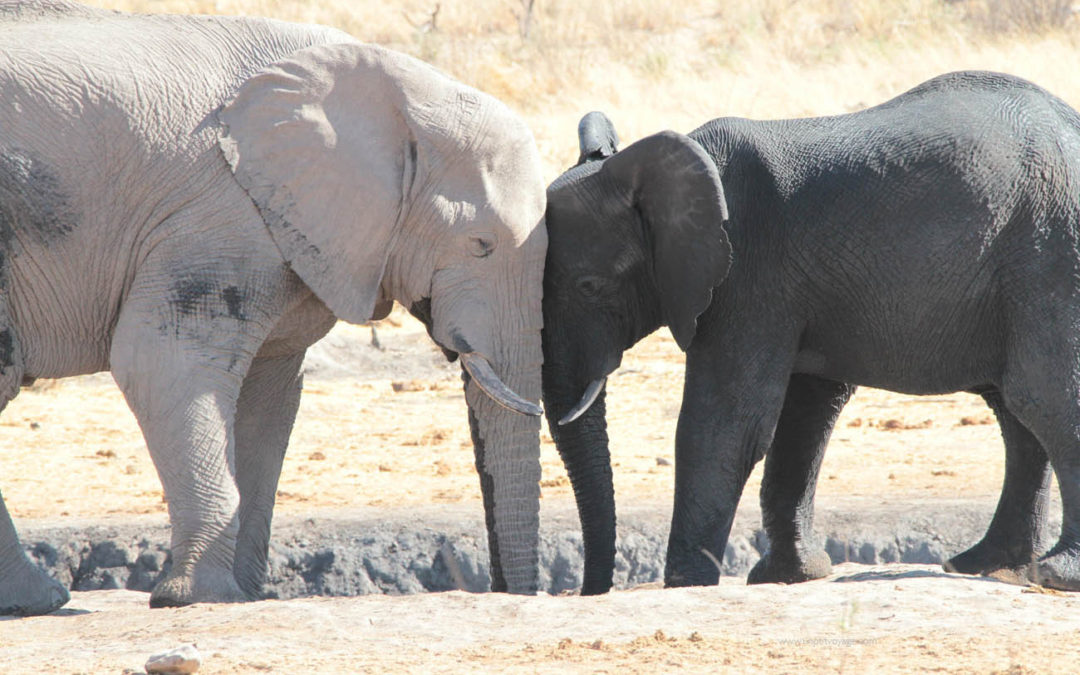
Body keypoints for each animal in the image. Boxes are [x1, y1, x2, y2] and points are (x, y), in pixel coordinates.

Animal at [0, 0, 548, 613]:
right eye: (481, 244)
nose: (506, 588)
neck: (400, 89)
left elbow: (270, 395)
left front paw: (241, 595)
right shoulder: (217, 217)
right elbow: (159, 362)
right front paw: (202, 598)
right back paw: (40, 599)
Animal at [544, 71, 1075, 591]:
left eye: (590, 286)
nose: (592, 591)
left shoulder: (750, 269)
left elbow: (726, 421)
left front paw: (687, 586)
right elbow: (805, 413)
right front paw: (788, 576)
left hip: (1049, 251)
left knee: (1041, 397)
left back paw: (1056, 574)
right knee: (1016, 413)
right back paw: (984, 566)